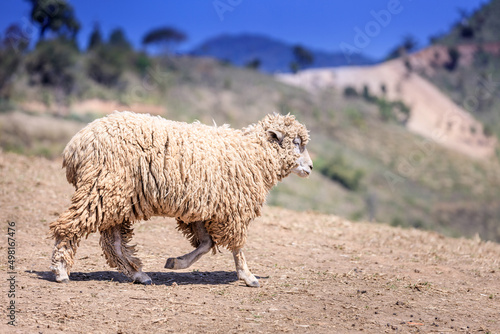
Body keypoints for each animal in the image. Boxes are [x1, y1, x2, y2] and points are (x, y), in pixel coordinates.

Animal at [48, 110, 310, 288]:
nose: (311, 167)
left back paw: (139, 275)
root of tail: (75, 146)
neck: (253, 154)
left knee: (114, 244)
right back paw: (60, 271)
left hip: (114, 199)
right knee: (68, 225)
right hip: (101, 189)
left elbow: (206, 244)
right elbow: (236, 246)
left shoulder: (201, 207)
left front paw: (177, 262)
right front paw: (248, 276)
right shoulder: (231, 208)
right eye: (297, 143)